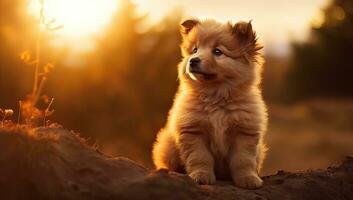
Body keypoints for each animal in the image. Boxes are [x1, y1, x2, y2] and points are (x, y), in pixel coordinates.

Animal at [152, 17, 266, 189]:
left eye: (217, 52)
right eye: (194, 50)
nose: (193, 61)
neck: (215, 96)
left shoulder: (244, 132)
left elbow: (243, 160)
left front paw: (248, 178)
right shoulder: (193, 132)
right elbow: (200, 157)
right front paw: (201, 176)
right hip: (168, 145)